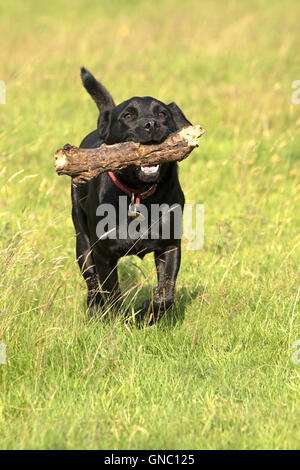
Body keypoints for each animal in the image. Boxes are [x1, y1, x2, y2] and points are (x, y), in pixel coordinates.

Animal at [71, 67, 191, 320]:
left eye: (163, 114)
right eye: (128, 116)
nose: (151, 124)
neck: (138, 193)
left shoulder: (170, 246)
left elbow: (165, 294)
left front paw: (146, 313)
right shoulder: (104, 254)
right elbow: (113, 295)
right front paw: (119, 321)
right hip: (82, 242)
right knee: (91, 282)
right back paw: (94, 310)